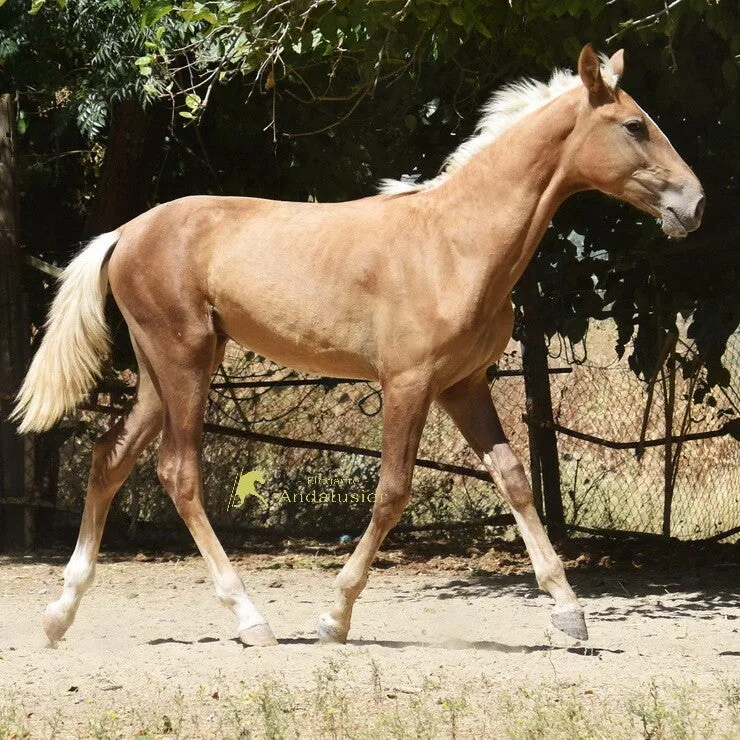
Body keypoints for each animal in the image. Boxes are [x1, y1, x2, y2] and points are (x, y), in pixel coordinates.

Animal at [12, 45, 704, 647]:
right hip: (183, 362)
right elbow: (393, 491)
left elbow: (514, 480)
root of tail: (126, 232)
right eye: (635, 126)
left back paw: (57, 615)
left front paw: (569, 613)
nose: (694, 204)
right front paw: (334, 617)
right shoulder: (408, 382)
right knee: (178, 473)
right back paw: (251, 619)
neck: (456, 243)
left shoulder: (463, 385)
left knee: (110, 457)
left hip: (168, 369)